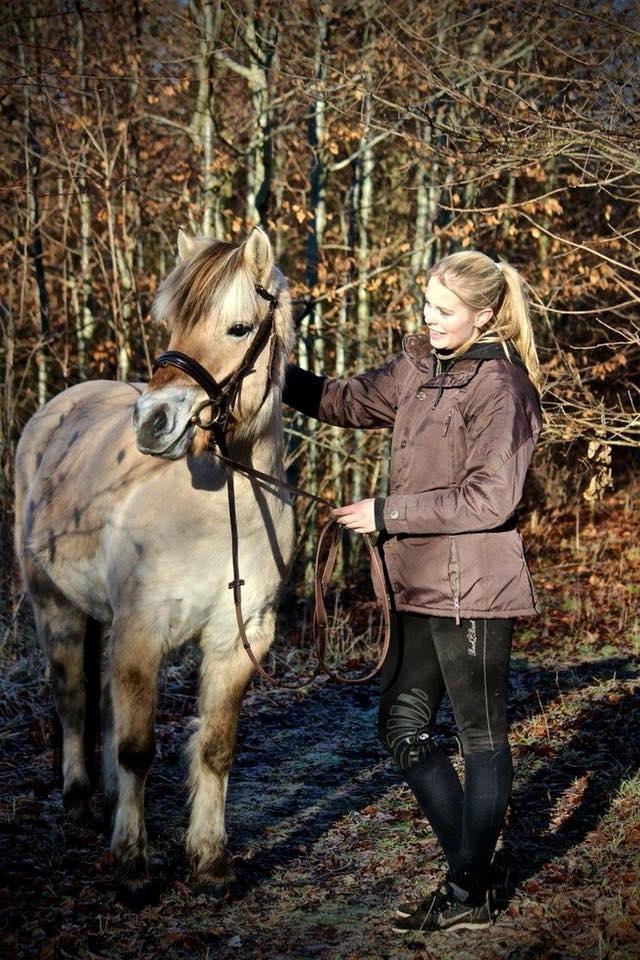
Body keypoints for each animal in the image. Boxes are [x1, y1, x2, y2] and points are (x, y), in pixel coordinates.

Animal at [13, 227, 298, 900]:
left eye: (239, 328)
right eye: (171, 323)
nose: (152, 422)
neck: (217, 510)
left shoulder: (238, 639)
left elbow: (215, 749)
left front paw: (211, 862)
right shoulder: (142, 632)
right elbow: (138, 748)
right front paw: (133, 866)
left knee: (104, 708)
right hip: (56, 607)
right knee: (73, 701)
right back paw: (80, 804)